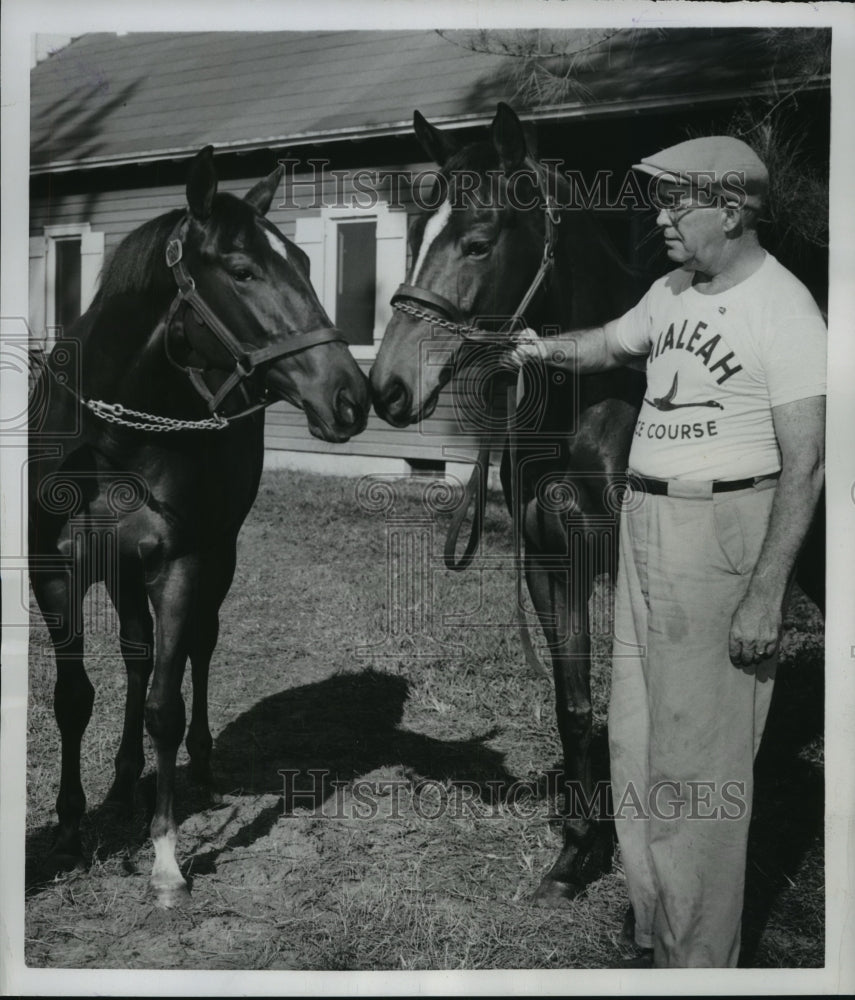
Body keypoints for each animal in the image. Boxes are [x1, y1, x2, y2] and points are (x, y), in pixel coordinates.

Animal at [30, 146, 370, 908]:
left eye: (307, 262)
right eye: (241, 270)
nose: (350, 398)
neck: (114, 439)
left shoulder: (181, 565)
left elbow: (167, 702)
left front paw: (164, 857)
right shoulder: (56, 574)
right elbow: (75, 697)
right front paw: (69, 830)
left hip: (218, 555)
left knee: (197, 652)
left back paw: (202, 770)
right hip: (124, 573)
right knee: (136, 655)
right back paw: (124, 781)